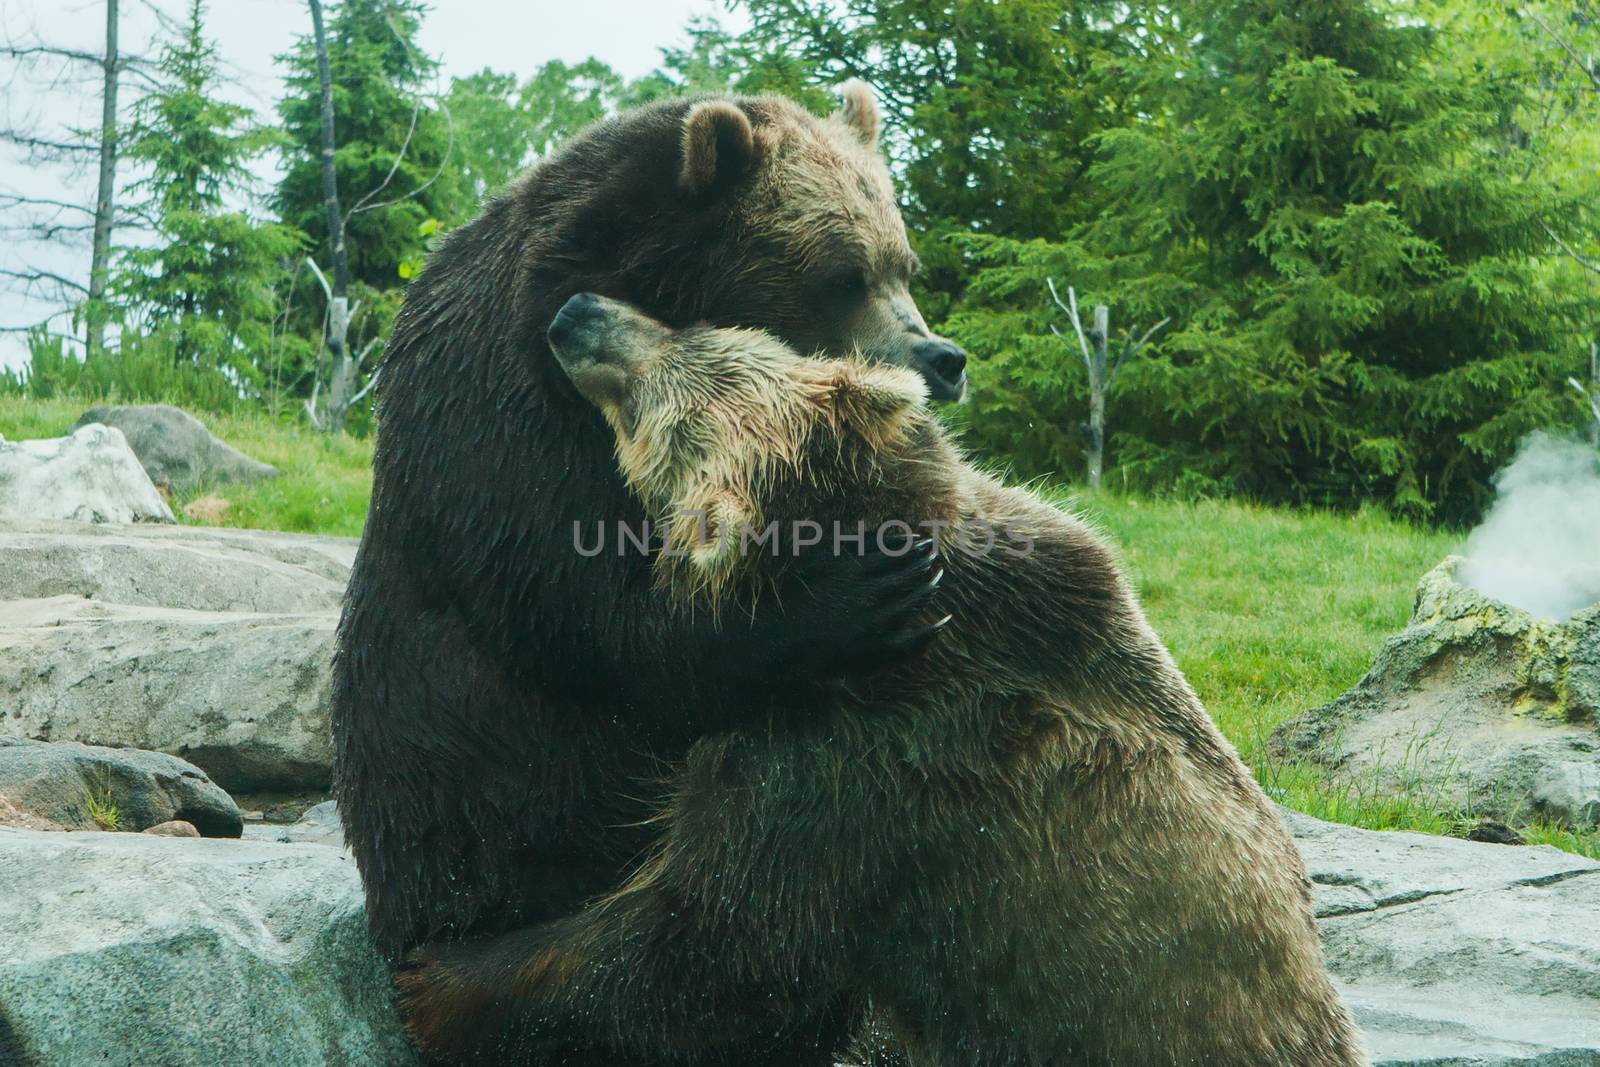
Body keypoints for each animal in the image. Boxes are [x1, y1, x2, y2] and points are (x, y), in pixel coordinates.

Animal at [331, 89, 966, 1062]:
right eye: (843, 274)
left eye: (904, 262)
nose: (942, 357)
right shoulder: (509, 420)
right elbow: (596, 620)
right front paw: (856, 592)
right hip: (480, 848)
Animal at [396, 294, 1363, 1067]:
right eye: (697, 323)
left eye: (644, 409)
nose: (577, 312)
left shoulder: (864, 766)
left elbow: (713, 944)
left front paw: (444, 975)